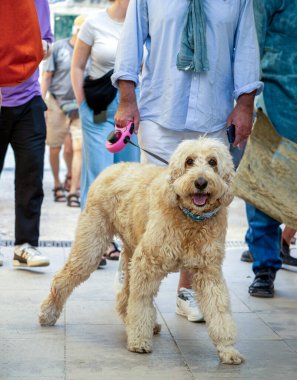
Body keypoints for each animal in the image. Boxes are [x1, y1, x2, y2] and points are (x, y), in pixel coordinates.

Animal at [39, 137, 243, 366]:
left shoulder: (209, 272)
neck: (190, 219)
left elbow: (219, 310)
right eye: (189, 161)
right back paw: (48, 313)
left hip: (130, 250)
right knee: (63, 280)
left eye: (213, 162)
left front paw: (227, 349)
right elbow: (141, 303)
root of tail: (112, 168)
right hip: (91, 247)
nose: (200, 182)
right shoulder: (147, 264)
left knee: (124, 295)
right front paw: (138, 341)